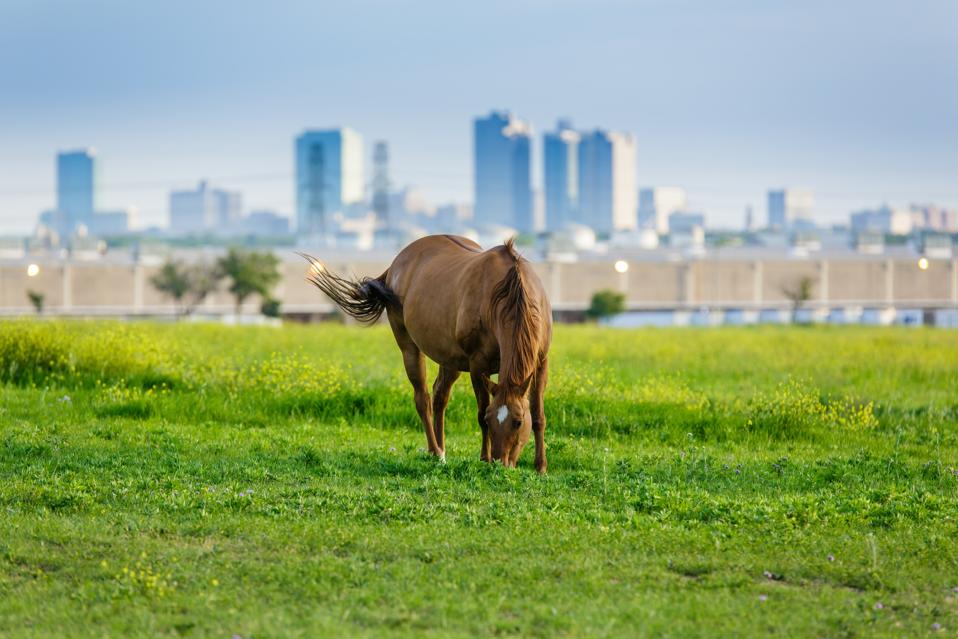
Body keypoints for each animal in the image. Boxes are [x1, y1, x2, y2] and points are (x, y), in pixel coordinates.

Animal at [301, 234, 552, 472]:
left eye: (518, 422)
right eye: (491, 421)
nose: (501, 463)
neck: (507, 292)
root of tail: (394, 266)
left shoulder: (540, 362)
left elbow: (538, 414)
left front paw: (540, 466)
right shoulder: (477, 365)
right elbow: (480, 411)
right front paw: (484, 458)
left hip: (450, 359)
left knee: (440, 396)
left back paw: (442, 450)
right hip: (409, 348)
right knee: (423, 399)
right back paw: (436, 452)